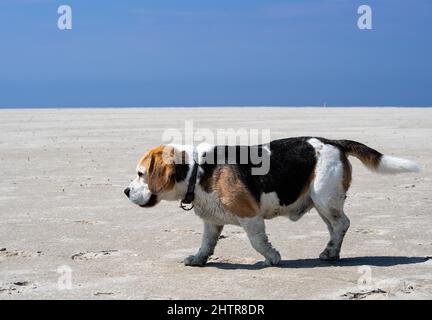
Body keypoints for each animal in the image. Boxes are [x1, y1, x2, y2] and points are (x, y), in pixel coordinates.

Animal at [123, 137, 420, 264]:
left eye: (140, 174)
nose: (125, 191)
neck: (199, 169)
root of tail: (334, 142)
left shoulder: (250, 217)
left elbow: (258, 243)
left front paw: (273, 258)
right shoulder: (212, 221)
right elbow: (206, 244)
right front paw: (198, 259)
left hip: (326, 198)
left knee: (342, 224)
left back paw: (330, 252)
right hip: (322, 203)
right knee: (336, 227)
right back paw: (331, 252)